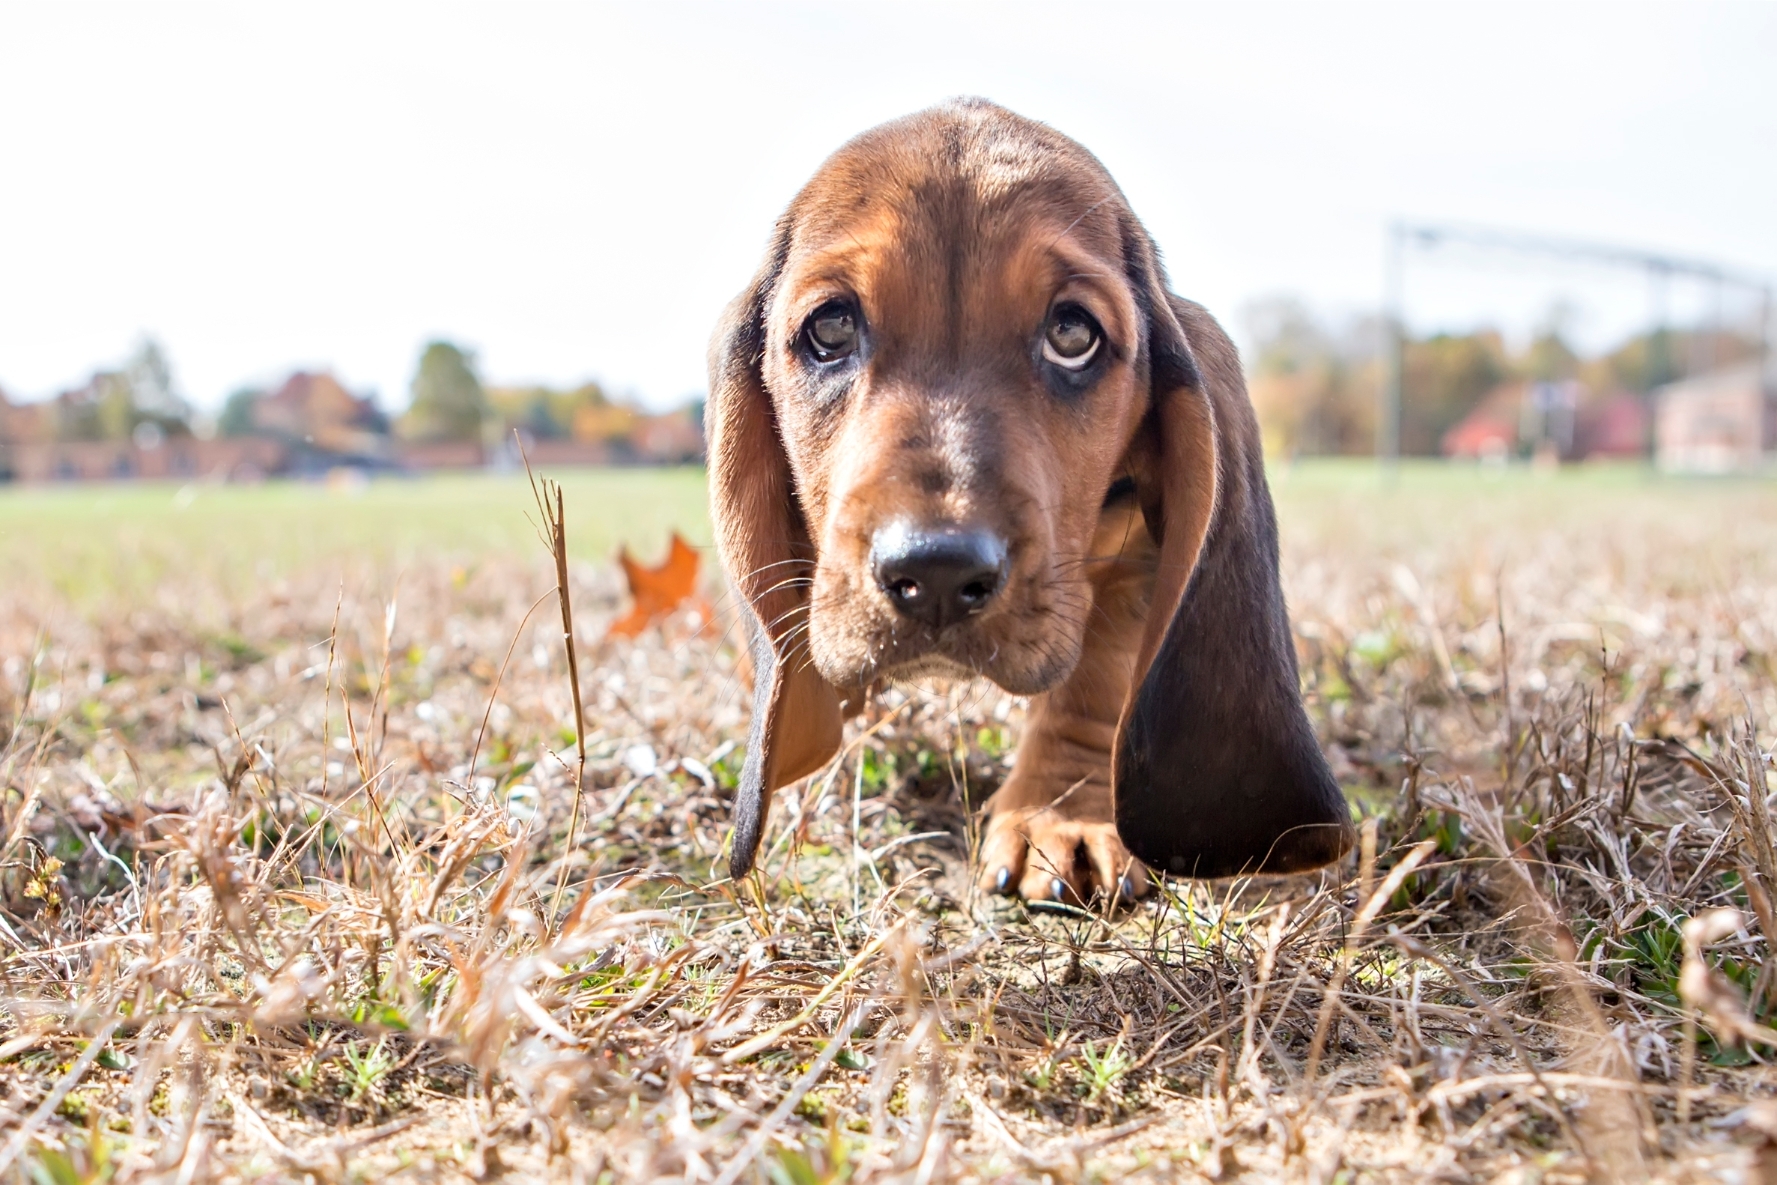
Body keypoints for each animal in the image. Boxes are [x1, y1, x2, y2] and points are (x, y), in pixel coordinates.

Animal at [703, 102, 1343, 902]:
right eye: (831, 327)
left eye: (1072, 333)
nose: (936, 574)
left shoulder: (1134, 557)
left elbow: (1094, 677)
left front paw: (1060, 813)